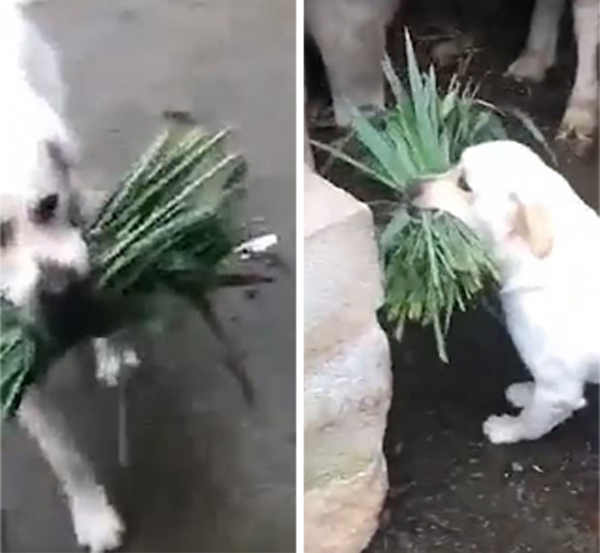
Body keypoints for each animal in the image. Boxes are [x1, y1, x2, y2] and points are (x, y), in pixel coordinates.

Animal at [412, 141, 600, 444]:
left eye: (464, 184)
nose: (409, 187)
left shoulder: (559, 390)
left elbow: (532, 422)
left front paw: (507, 430)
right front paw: (526, 392)